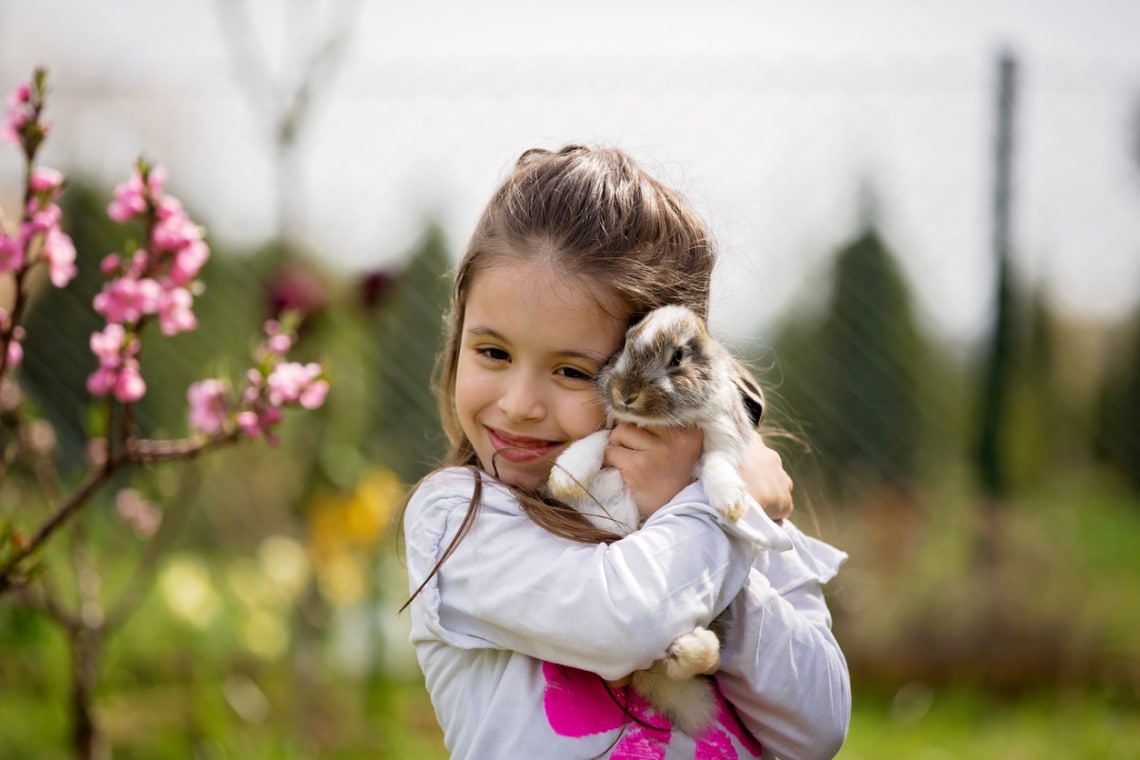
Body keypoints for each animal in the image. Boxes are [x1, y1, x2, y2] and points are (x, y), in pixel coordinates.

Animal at [547, 303, 788, 738]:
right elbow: (595, 443)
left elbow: (717, 466)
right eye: (625, 343)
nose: (626, 394)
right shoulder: (611, 429)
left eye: (678, 358)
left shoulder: (721, 436)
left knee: (702, 661)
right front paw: (564, 477)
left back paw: (686, 650)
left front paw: (731, 504)